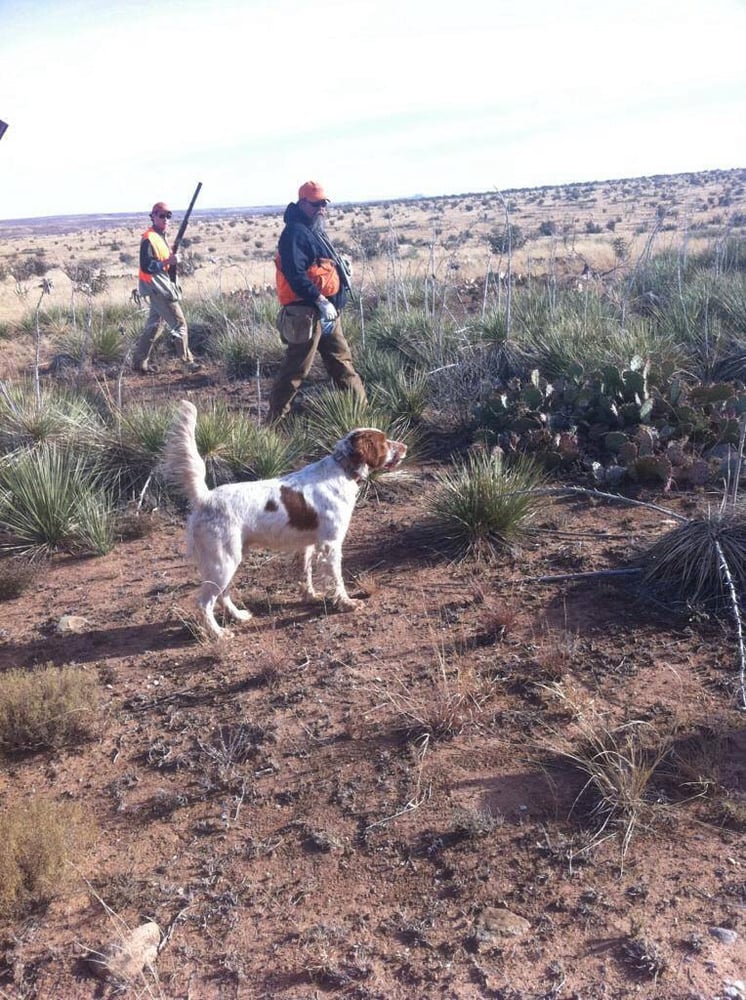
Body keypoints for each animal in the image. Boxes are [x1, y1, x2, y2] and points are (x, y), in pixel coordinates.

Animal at [163, 400, 406, 640]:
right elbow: (336, 579)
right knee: (205, 602)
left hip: (231, 558)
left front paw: (311, 596)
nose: (404, 447)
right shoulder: (331, 544)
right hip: (222, 561)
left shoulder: (308, 545)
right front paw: (346, 603)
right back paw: (219, 633)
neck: (342, 470)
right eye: (384, 442)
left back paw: (239, 616)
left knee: (223, 595)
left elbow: (306, 573)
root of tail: (205, 497)